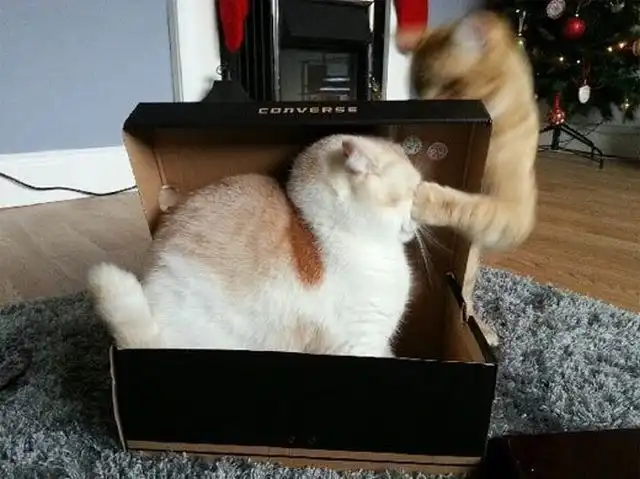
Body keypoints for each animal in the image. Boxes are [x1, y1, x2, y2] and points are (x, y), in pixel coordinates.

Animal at [407, 10, 540, 346]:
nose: (424, 110)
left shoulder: (513, 213)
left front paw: (424, 196)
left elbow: (472, 206)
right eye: (416, 89)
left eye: (453, 86)